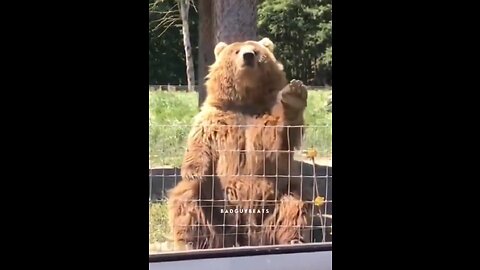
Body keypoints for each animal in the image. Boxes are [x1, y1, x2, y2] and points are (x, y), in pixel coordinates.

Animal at [168, 38, 312, 251]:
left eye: (256, 51)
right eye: (236, 51)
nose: (248, 56)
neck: (245, 101)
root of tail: (242, 235)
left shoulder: (263, 120)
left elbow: (277, 141)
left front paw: (294, 96)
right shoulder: (215, 120)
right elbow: (199, 144)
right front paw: (193, 171)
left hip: (274, 200)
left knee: (293, 204)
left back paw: (293, 239)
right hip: (214, 207)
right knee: (187, 200)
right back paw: (190, 243)